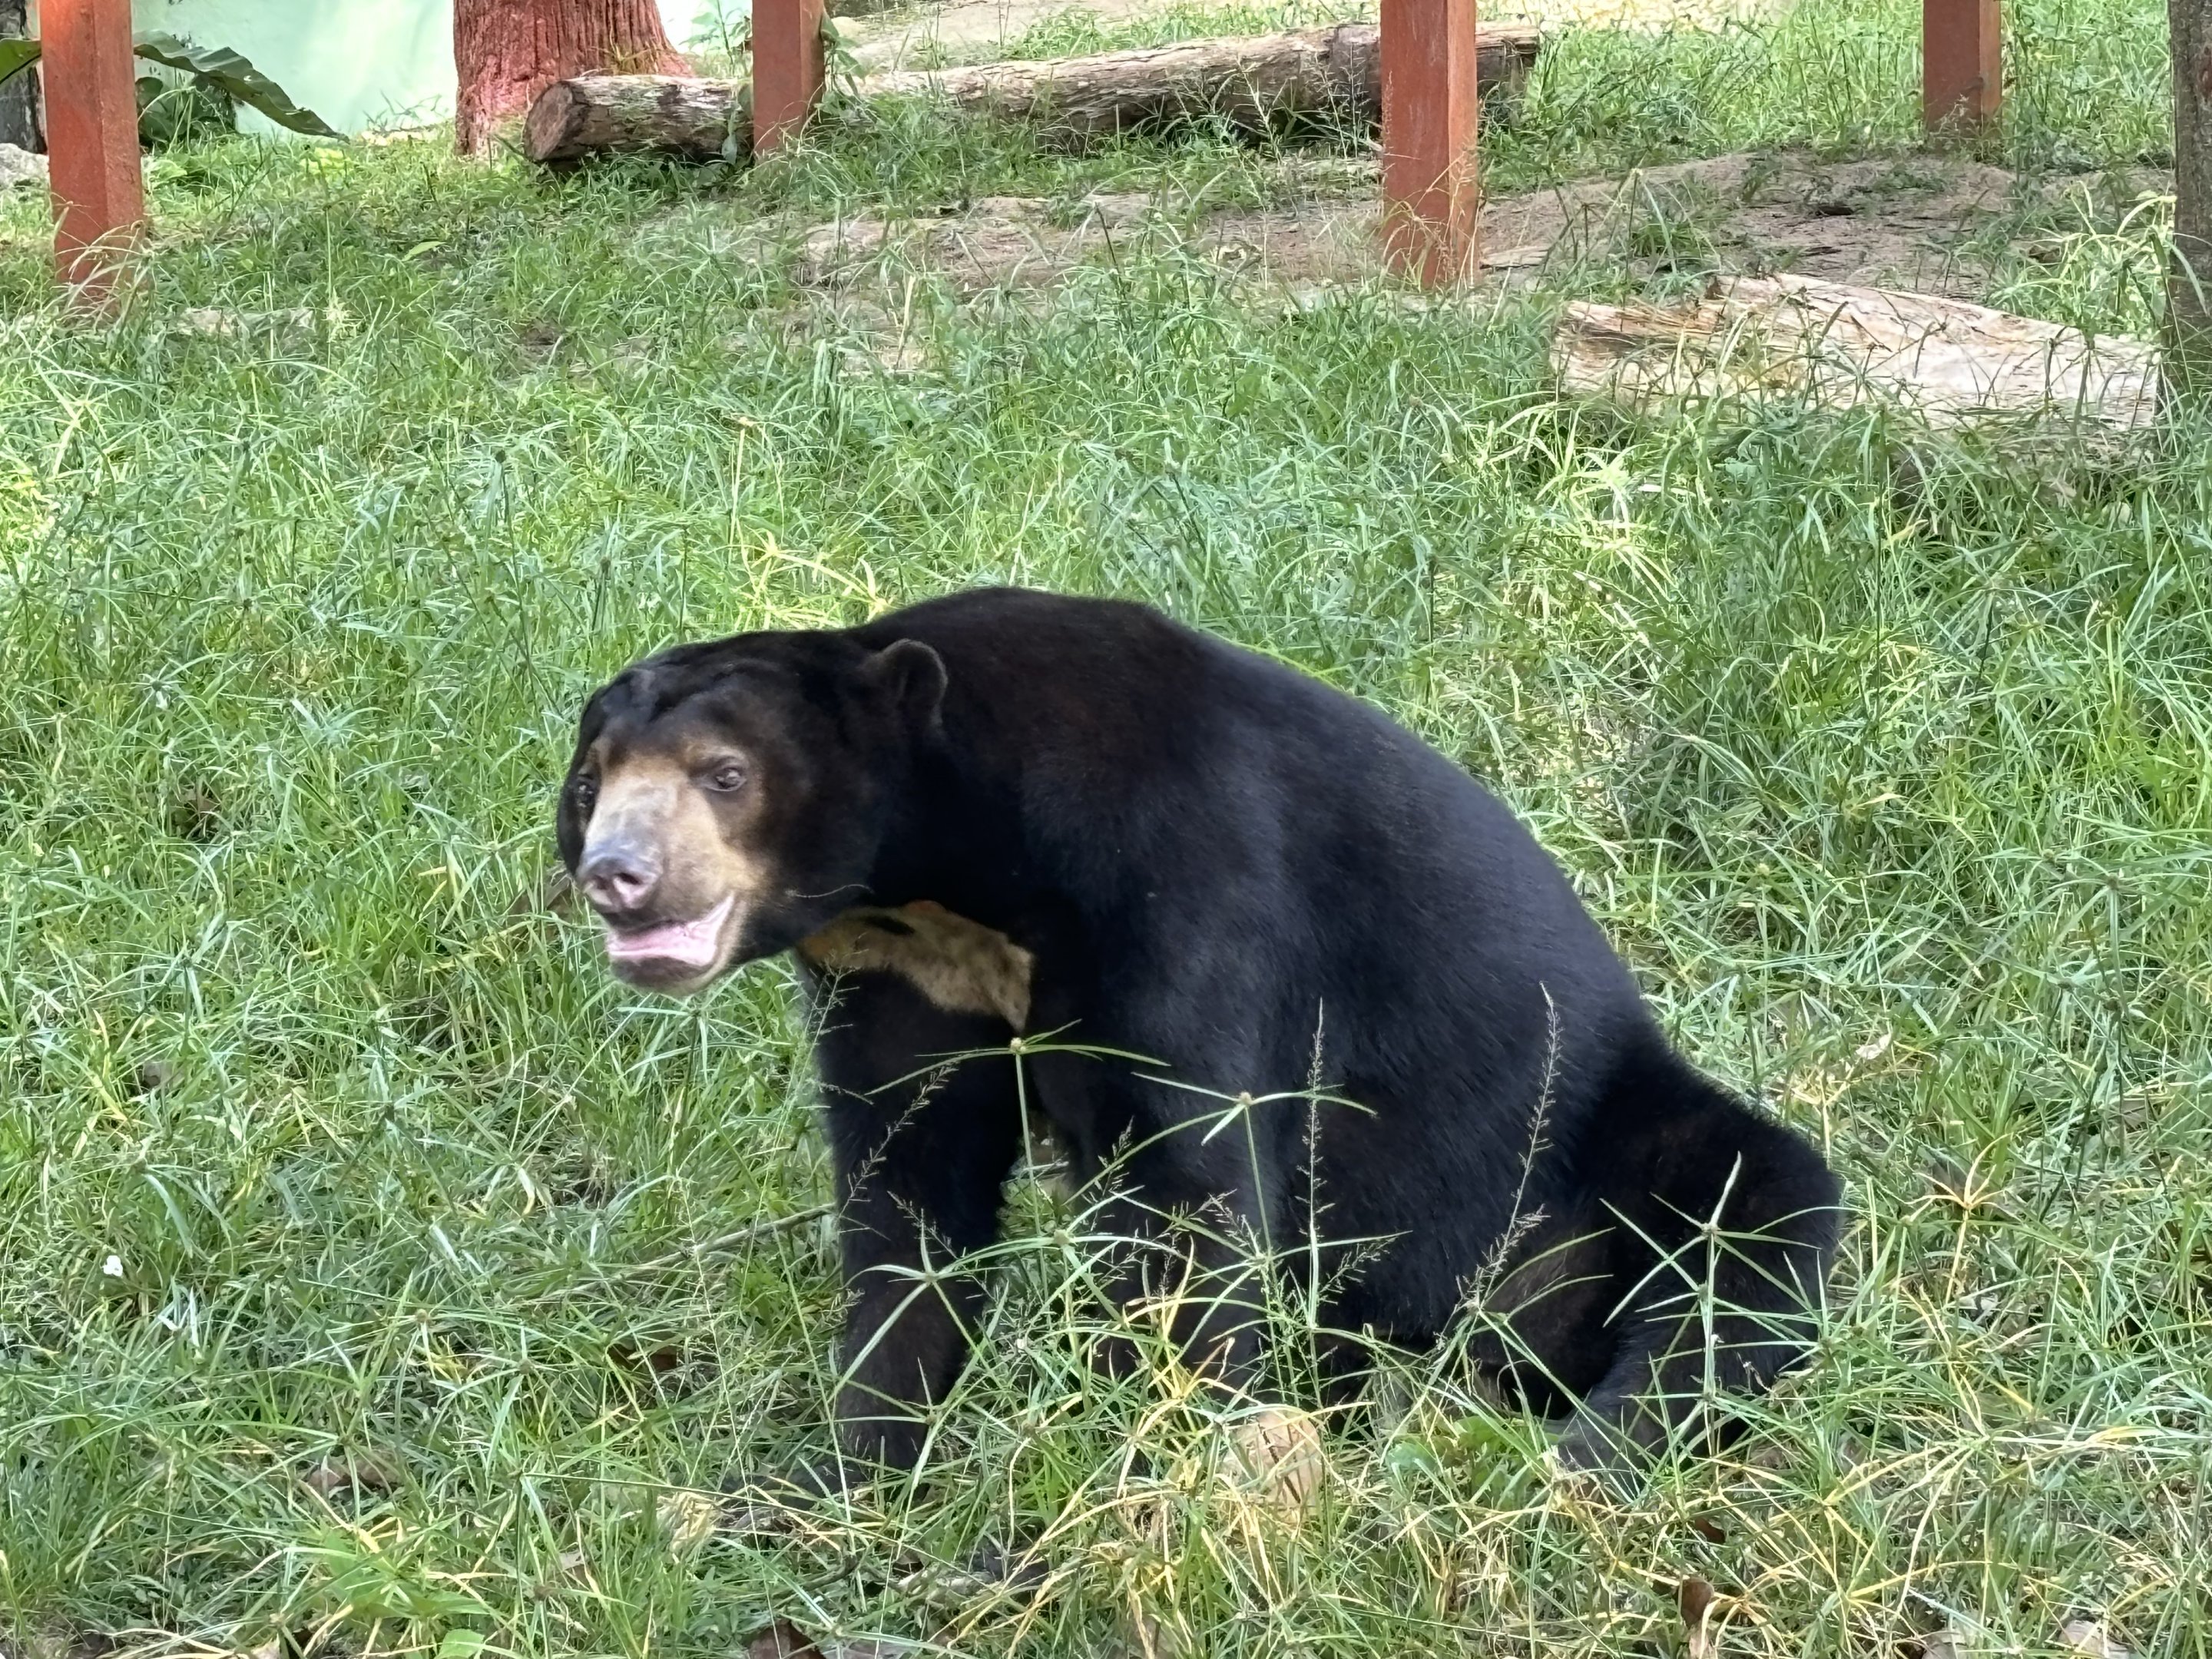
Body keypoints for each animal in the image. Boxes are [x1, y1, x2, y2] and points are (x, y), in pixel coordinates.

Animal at [555, 586, 1842, 1478]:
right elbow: (905, 1190)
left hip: (1597, 1155)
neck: (951, 876)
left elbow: (1192, 1197)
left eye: (724, 774)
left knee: (1743, 1240)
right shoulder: (899, 971)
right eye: (592, 781)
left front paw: (1156, 1465)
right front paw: (853, 1471)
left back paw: (1574, 1464)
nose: (618, 877)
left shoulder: (1179, 879)